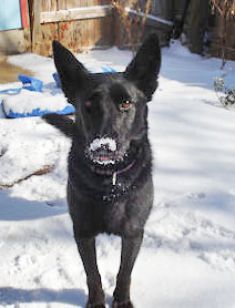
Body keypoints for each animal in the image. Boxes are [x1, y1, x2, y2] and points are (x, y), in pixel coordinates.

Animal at [43, 34, 161, 308]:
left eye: (126, 103)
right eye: (87, 103)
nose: (103, 146)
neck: (110, 182)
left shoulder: (133, 234)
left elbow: (124, 272)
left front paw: (122, 300)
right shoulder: (83, 233)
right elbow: (92, 274)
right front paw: (97, 302)